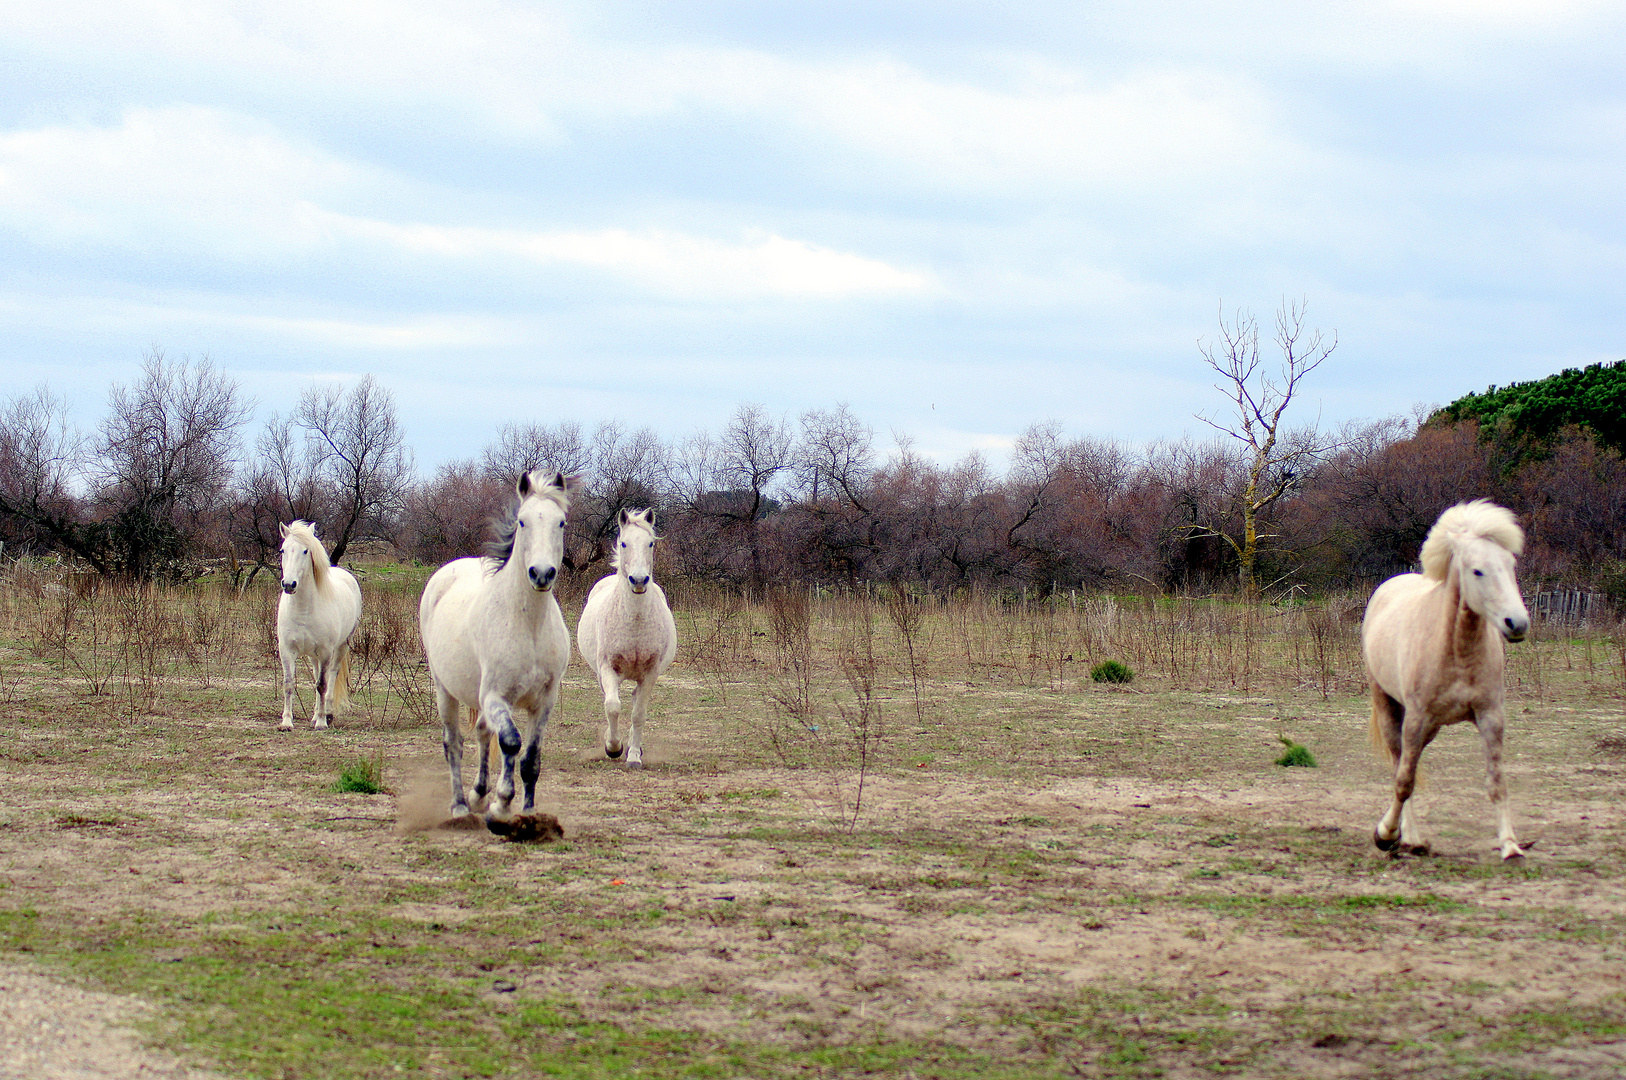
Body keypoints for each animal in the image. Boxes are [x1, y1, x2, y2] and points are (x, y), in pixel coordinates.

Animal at [274, 523, 360, 735]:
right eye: (282, 550)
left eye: (306, 551)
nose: (289, 584)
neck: (303, 609)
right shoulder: (287, 650)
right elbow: (289, 684)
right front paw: (286, 722)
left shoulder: (325, 651)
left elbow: (322, 685)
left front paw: (321, 722)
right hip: (313, 655)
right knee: (315, 674)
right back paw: (314, 715)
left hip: (340, 647)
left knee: (332, 675)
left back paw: (326, 714)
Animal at [578, 507, 673, 767]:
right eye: (623, 543)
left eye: (650, 543)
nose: (638, 580)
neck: (635, 622)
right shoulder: (608, 669)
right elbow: (612, 707)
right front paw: (613, 748)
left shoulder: (650, 673)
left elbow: (638, 714)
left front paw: (633, 756)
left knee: (634, 700)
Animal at [1365, 497, 1528, 858]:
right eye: (1477, 570)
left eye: (1510, 565)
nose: (1517, 623)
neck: (1458, 652)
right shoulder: (1416, 718)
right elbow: (1404, 781)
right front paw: (1385, 834)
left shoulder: (1491, 716)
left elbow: (1497, 782)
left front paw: (1510, 846)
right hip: (1390, 707)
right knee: (1399, 764)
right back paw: (1408, 836)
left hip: (1432, 726)